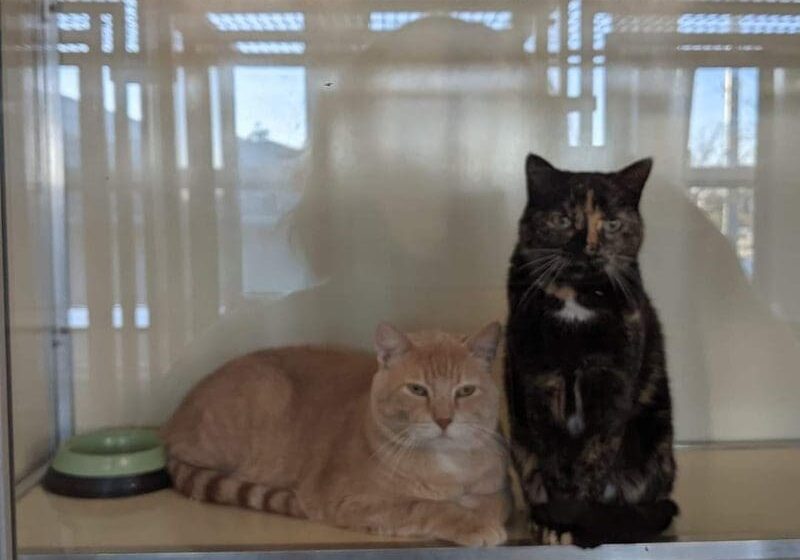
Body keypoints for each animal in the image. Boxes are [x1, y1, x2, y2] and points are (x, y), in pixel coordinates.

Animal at [163, 322, 512, 544]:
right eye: (417, 390)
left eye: (465, 391)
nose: (443, 419)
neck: (446, 464)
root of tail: (172, 421)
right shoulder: (356, 502)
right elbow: (427, 506)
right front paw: (472, 524)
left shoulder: (496, 491)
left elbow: (490, 503)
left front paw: (482, 515)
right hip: (262, 395)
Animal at [506, 154, 676, 548]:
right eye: (563, 219)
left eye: (612, 223)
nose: (589, 246)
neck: (576, 301)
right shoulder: (541, 381)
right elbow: (554, 457)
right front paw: (558, 522)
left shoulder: (610, 383)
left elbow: (593, 456)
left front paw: (580, 521)